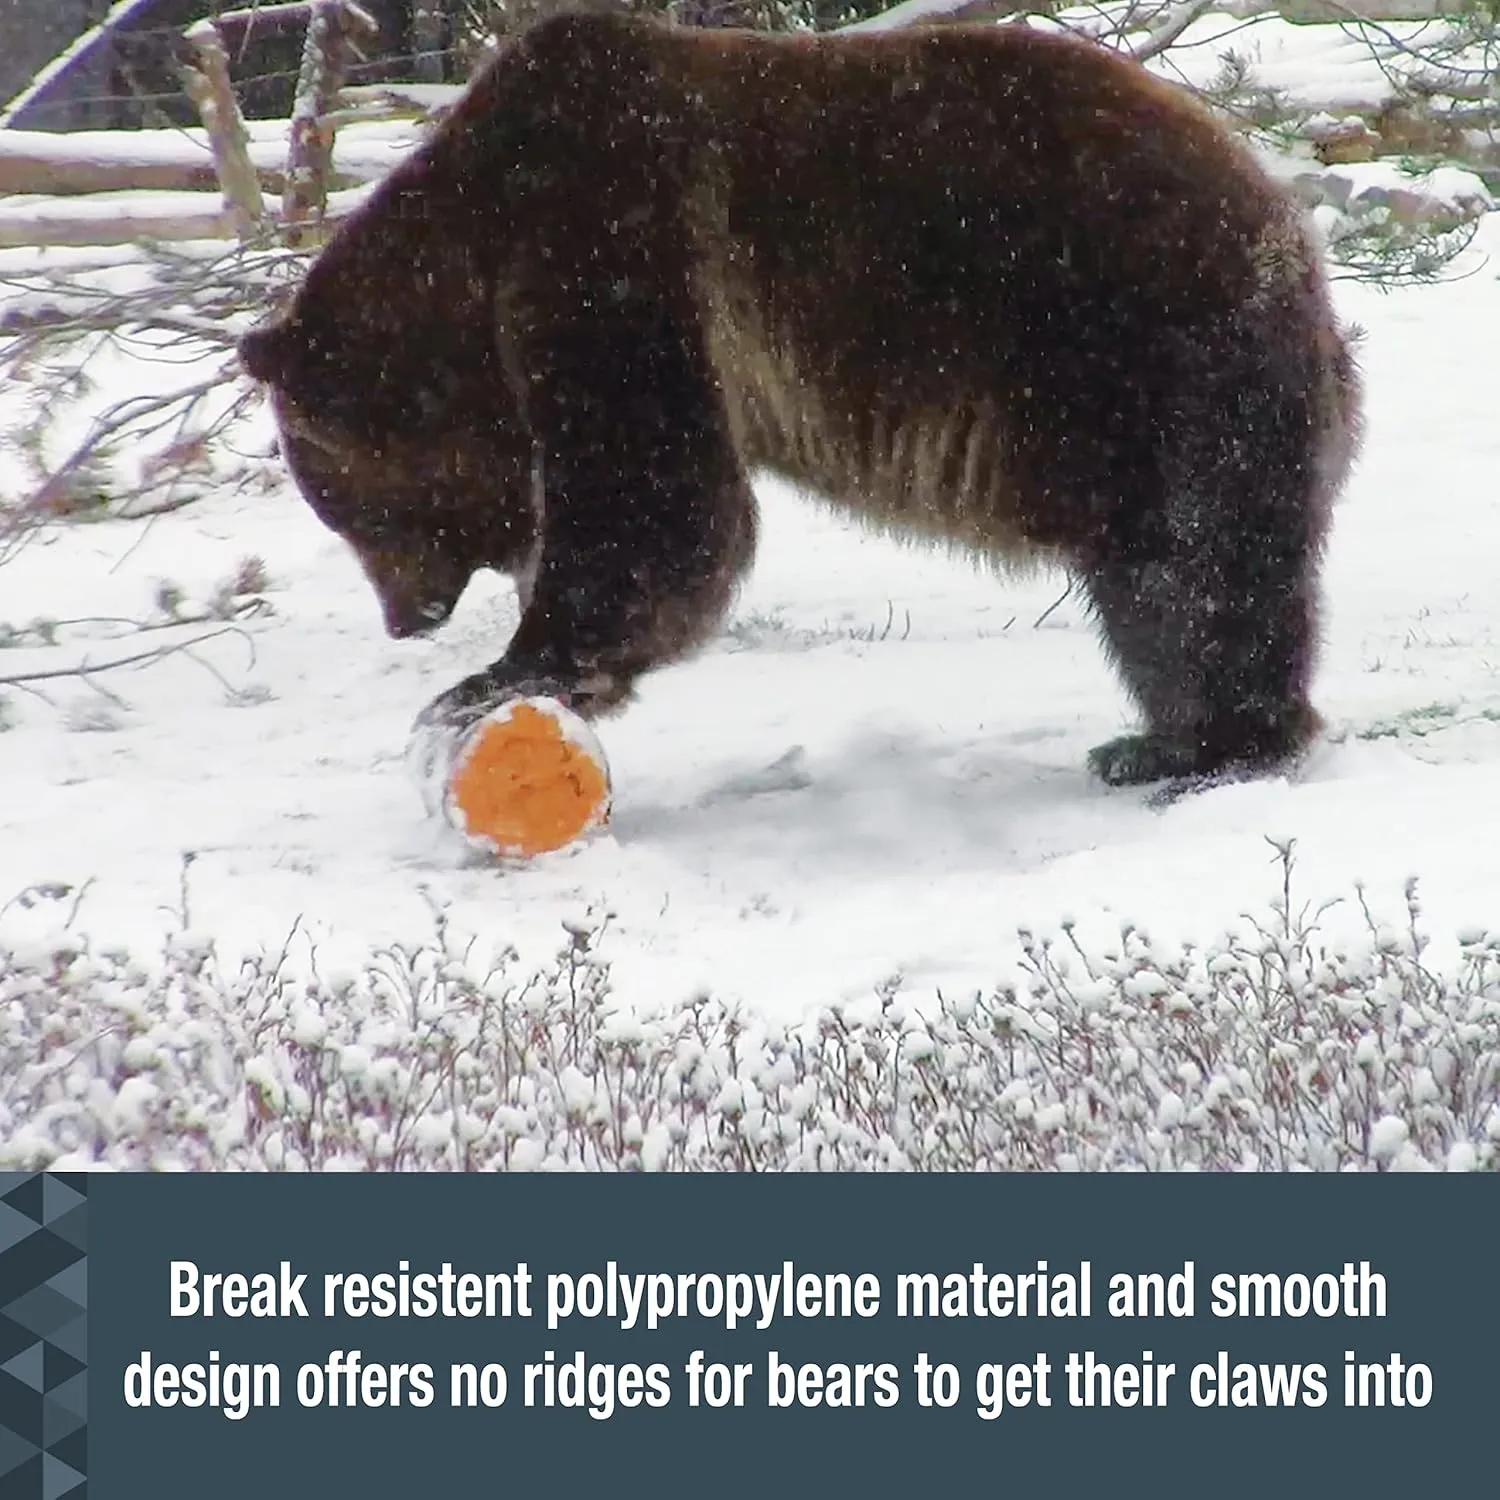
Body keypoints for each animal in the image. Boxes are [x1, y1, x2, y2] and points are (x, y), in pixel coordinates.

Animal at [238, 12, 1362, 792]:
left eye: (348, 509)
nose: (405, 620)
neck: (467, 259)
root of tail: (1284, 220)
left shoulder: (609, 241)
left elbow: (656, 500)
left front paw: (499, 679)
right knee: (1161, 584)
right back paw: (1159, 740)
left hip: (1145, 350)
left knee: (1194, 564)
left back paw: (1214, 745)